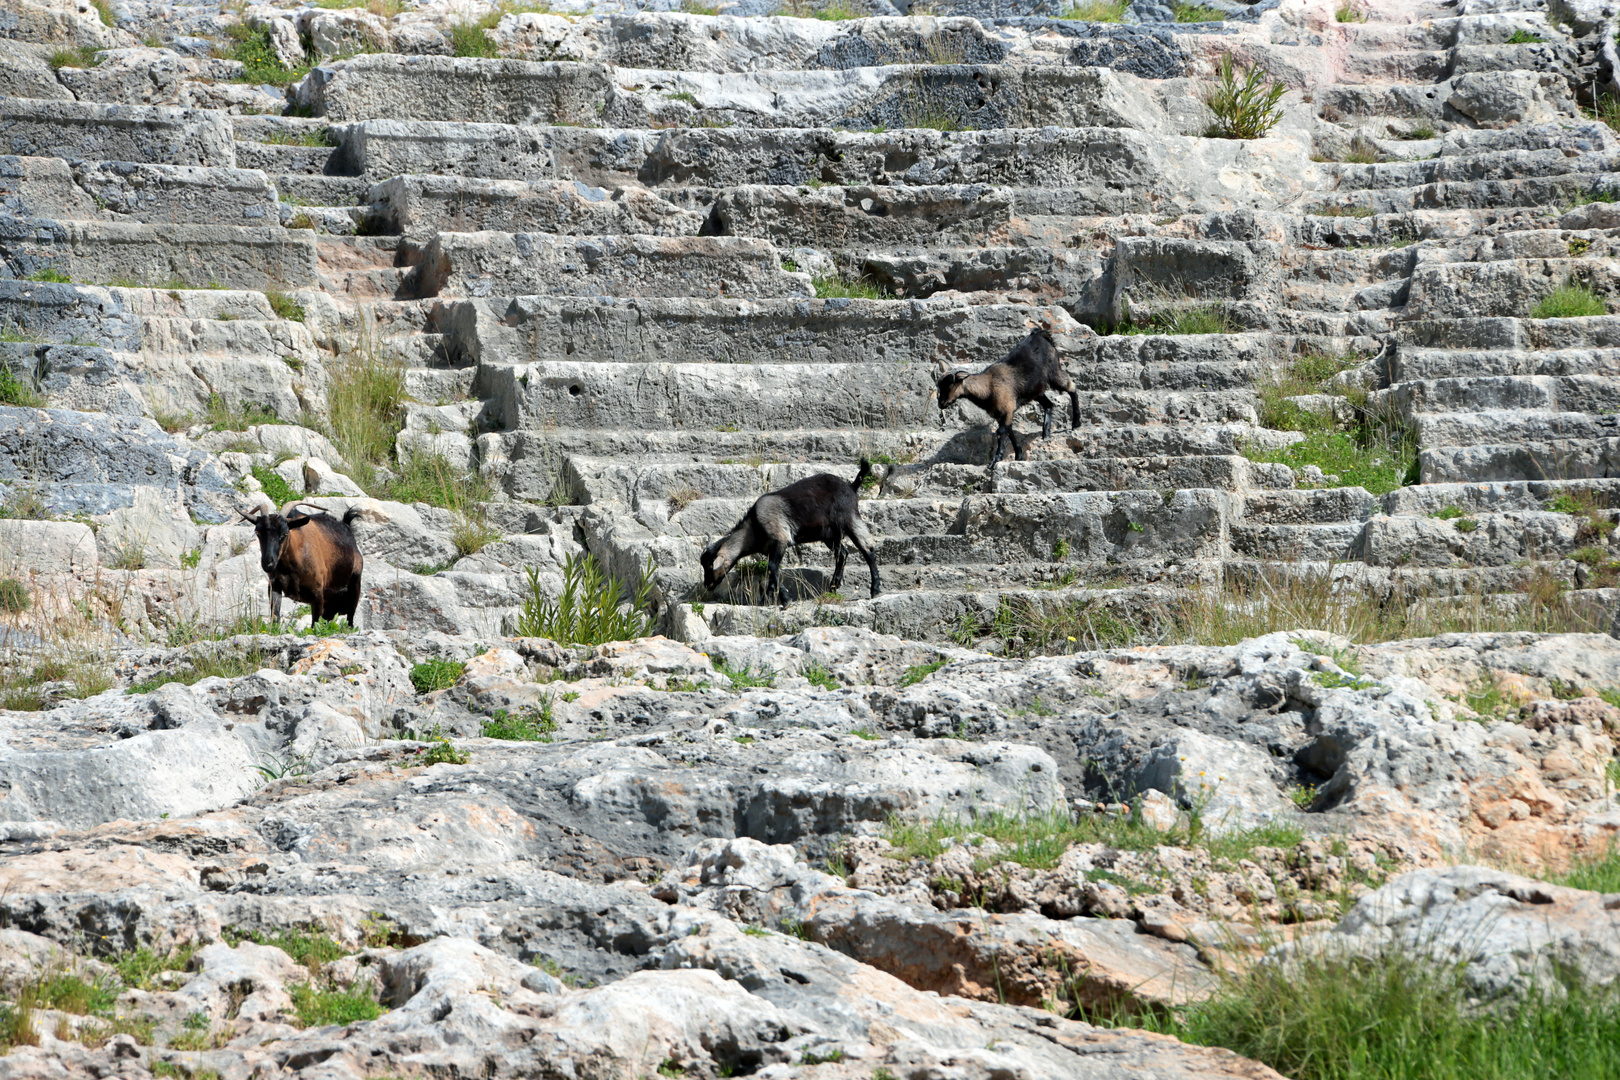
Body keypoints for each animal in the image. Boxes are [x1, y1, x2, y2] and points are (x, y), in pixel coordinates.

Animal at [699, 456, 881, 608]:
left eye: (709, 566)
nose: (707, 585)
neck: (755, 525)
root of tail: (851, 486)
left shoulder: (781, 539)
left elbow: (773, 568)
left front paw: (785, 600)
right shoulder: (771, 549)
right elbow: (772, 573)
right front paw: (767, 599)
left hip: (849, 519)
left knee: (867, 550)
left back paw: (875, 590)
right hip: (829, 535)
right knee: (842, 554)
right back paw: (832, 588)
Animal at [933, 327, 1082, 466]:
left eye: (949, 385)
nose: (941, 404)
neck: (989, 386)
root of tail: (1040, 334)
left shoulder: (1007, 409)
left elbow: (1001, 432)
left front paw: (995, 460)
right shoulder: (1002, 414)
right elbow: (1009, 431)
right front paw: (1019, 455)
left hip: (1054, 372)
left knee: (1071, 387)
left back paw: (1076, 423)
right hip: (1036, 391)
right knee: (1049, 404)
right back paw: (1046, 434)